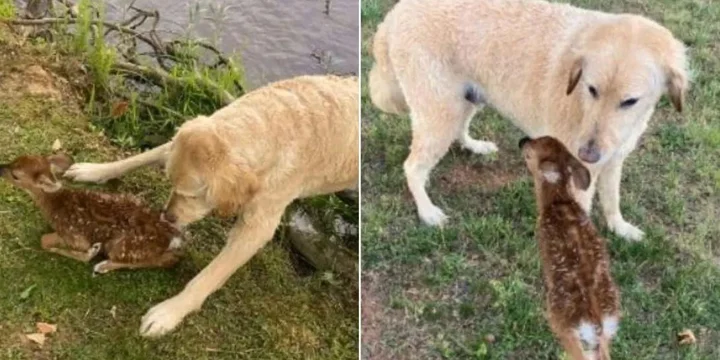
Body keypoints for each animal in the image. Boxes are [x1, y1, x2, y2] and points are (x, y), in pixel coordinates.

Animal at [63, 74, 358, 336]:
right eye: (170, 182)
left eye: (194, 196)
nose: (167, 217)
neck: (272, 124)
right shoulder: (176, 143)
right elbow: (138, 158)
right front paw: (94, 170)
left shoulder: (256, 227)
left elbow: (209, 276)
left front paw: (168, 313)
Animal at [368, 0, 688, 242]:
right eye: (592, 89)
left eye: (630, 101)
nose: (587, 154)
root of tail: (395, 13)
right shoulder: (579, 175)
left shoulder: (613, 160)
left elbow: (612, 200)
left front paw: (619, 228)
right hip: (441, 112)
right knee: (412, 167)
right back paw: (427, 212)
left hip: (466, 99)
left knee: (459, 130)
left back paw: (474, 146)